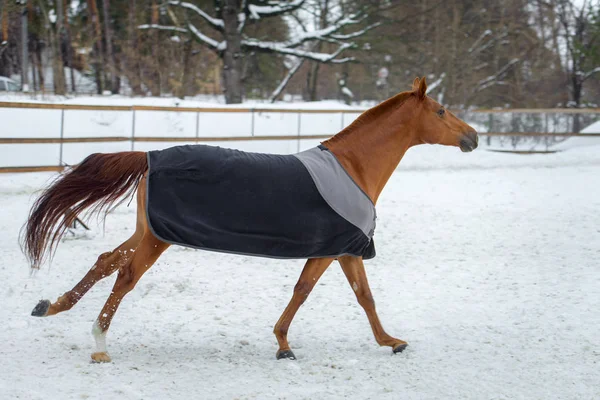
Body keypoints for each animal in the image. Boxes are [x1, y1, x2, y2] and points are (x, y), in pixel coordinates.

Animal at [22, 77, 478, 362]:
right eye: (440, 111)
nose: (473, 137)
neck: (353, 169)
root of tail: (149, 156)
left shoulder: (339, 250)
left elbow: (350, 295)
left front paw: (386, 341)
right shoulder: (339, 249)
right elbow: (318, 292)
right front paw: (287, 344)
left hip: (146, 231)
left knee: (105, 261)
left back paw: (51, 306)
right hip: (157, 238)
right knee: (125, 277)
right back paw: (99, 344)